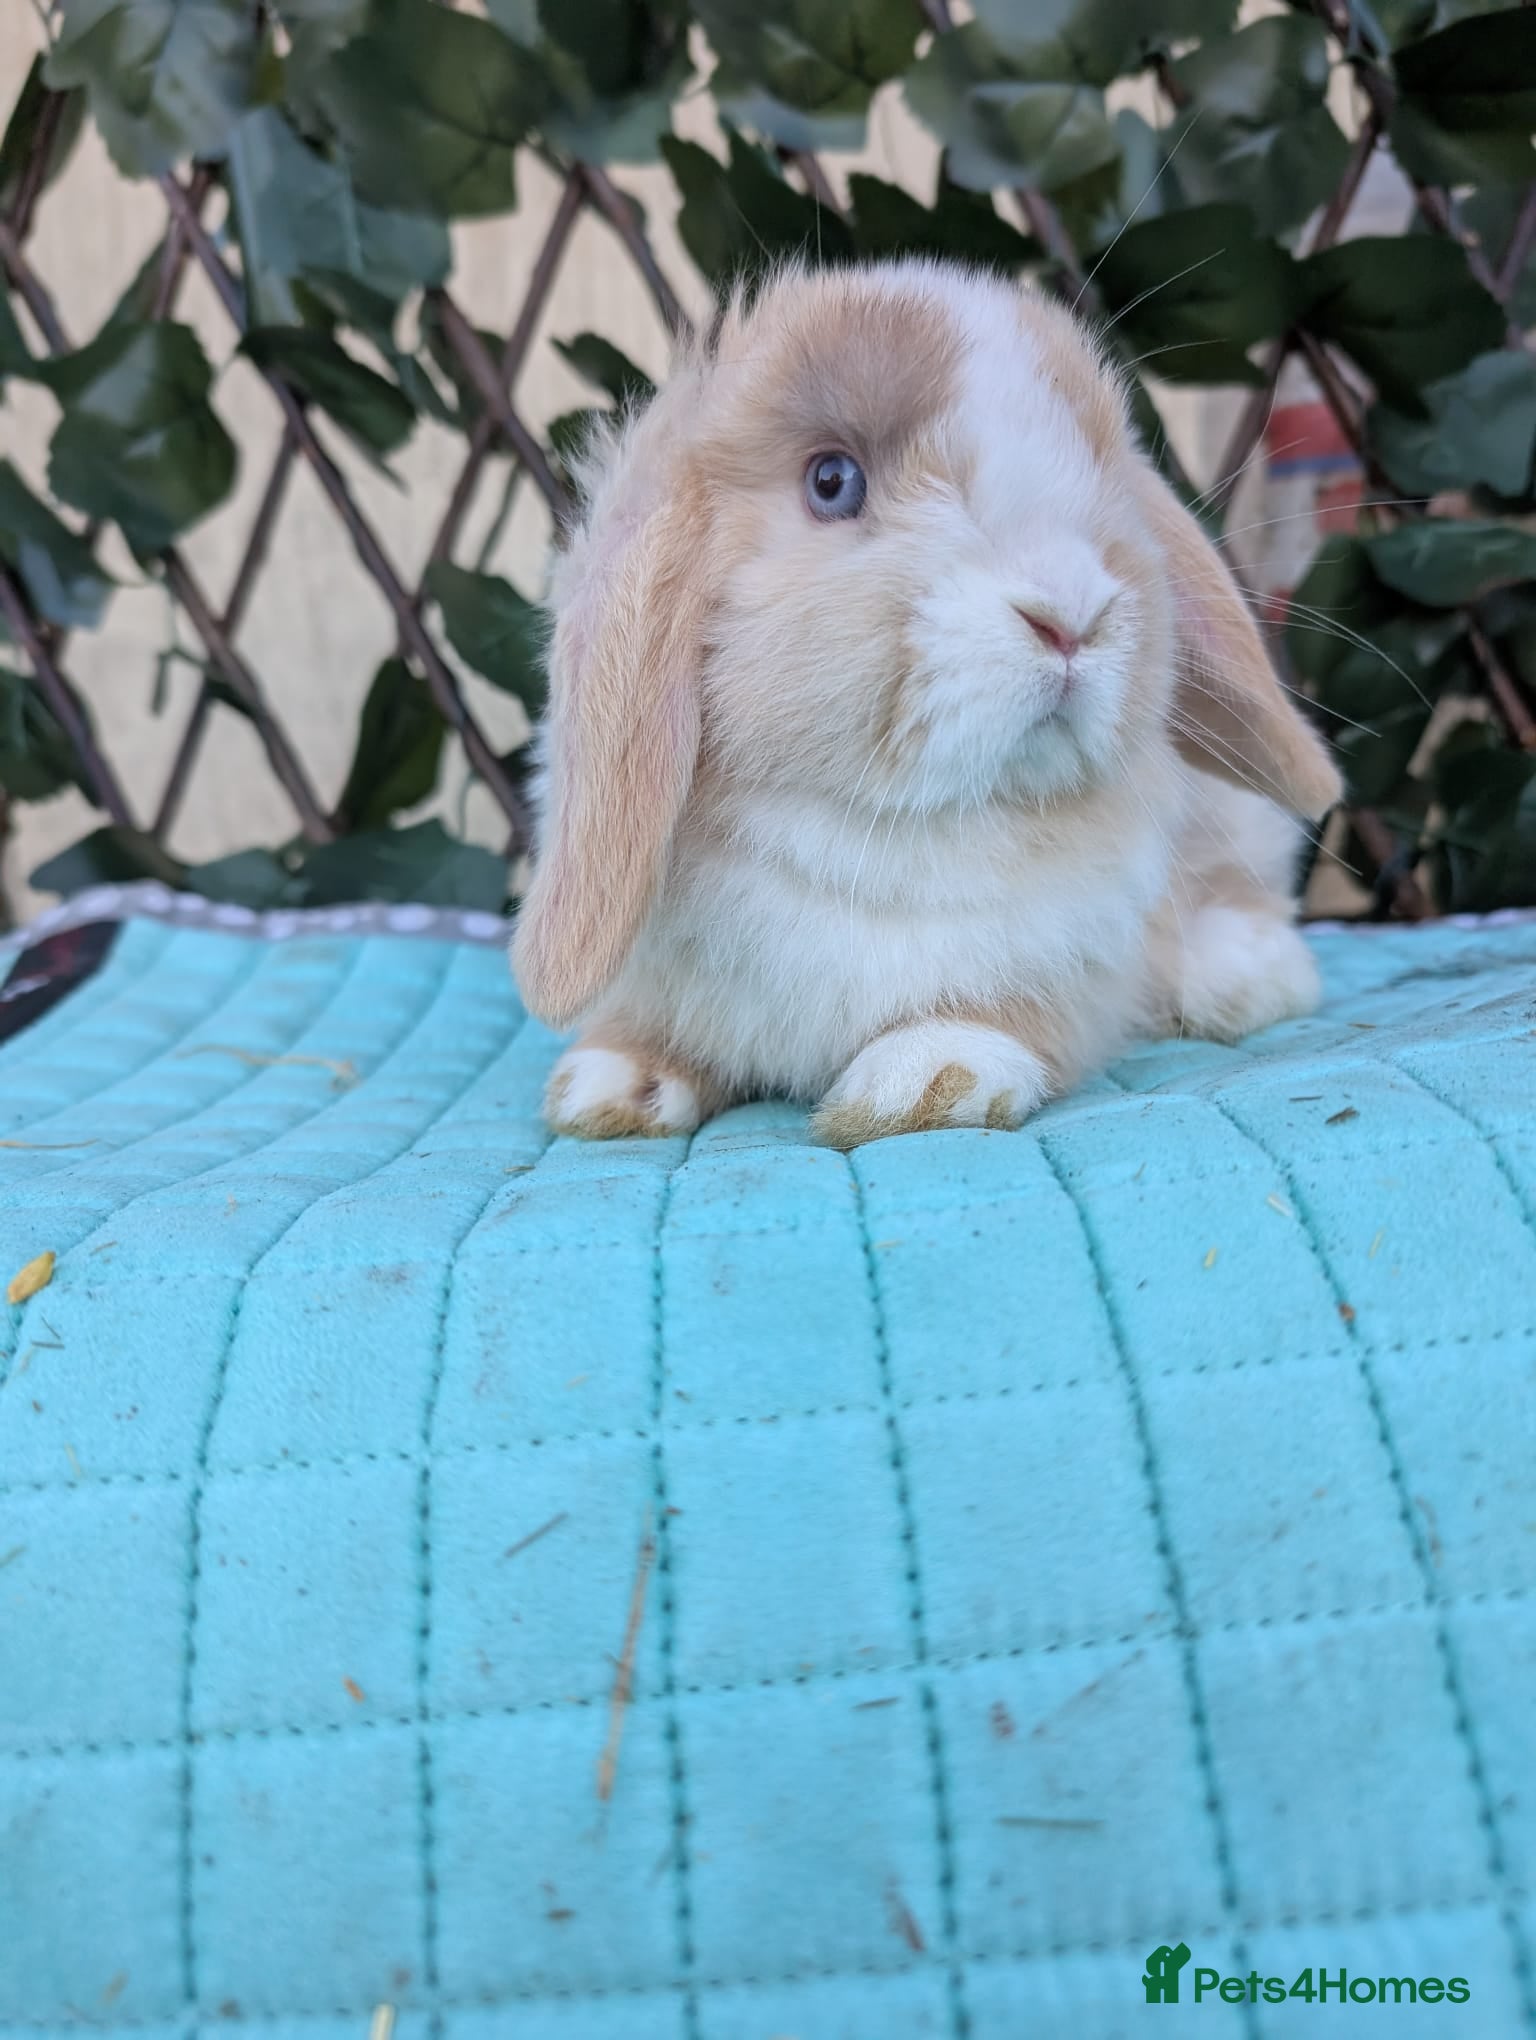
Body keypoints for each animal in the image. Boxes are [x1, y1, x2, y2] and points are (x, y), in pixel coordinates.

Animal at [512, 259, 1342, 1148]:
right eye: (832, 482)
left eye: (1097, 472)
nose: (1072, 613)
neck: (872, 827)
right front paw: (609, 1087)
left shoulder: (1064, 960)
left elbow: (1000, 1017)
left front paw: (921, 1081)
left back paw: (1240, 976)